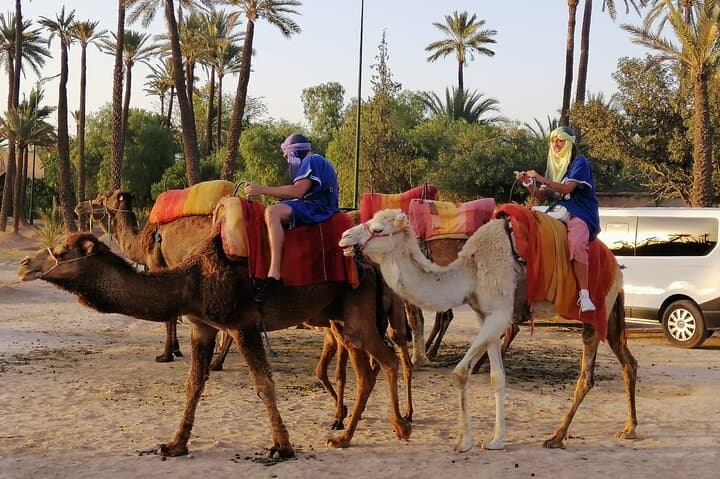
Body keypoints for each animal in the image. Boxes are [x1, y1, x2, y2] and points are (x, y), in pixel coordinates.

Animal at [18, 232, 411, 457]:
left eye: (61, 251)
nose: (23, 265)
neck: (190, 283)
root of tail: (371, 264)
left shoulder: (243, 324)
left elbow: (264, 384)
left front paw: (282, 447)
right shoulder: (202, 327)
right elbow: (193, 385)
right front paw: (174, 444)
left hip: (358, 314)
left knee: (389, 360)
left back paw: (400, 426)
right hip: (340, 320)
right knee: (366, 372)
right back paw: (344, 437)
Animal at [339, 208, 638, 452]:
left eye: (378, 229)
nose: (344, 237)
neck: (470, 271)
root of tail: (619, 269)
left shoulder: (499, 315)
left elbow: (460, 372)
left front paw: (464, 442)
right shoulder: (487, 317)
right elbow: (497, 377)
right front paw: (495, 440)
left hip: (596, 312)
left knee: (587, 375)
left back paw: (557, 437)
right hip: (611, 316)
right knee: (628, 362)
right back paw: (629, 428)